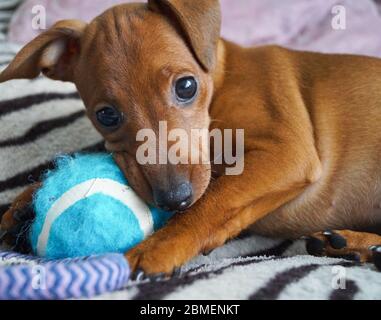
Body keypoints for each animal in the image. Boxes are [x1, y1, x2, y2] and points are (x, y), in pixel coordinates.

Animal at [0, 0, 380, 276]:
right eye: (106, 115)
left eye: (186, 86)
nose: (173, 200)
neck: (220, 83)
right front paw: (27, 202)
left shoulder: (288, 151)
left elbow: (213, 201)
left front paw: (156, 248)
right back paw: (357, 245)